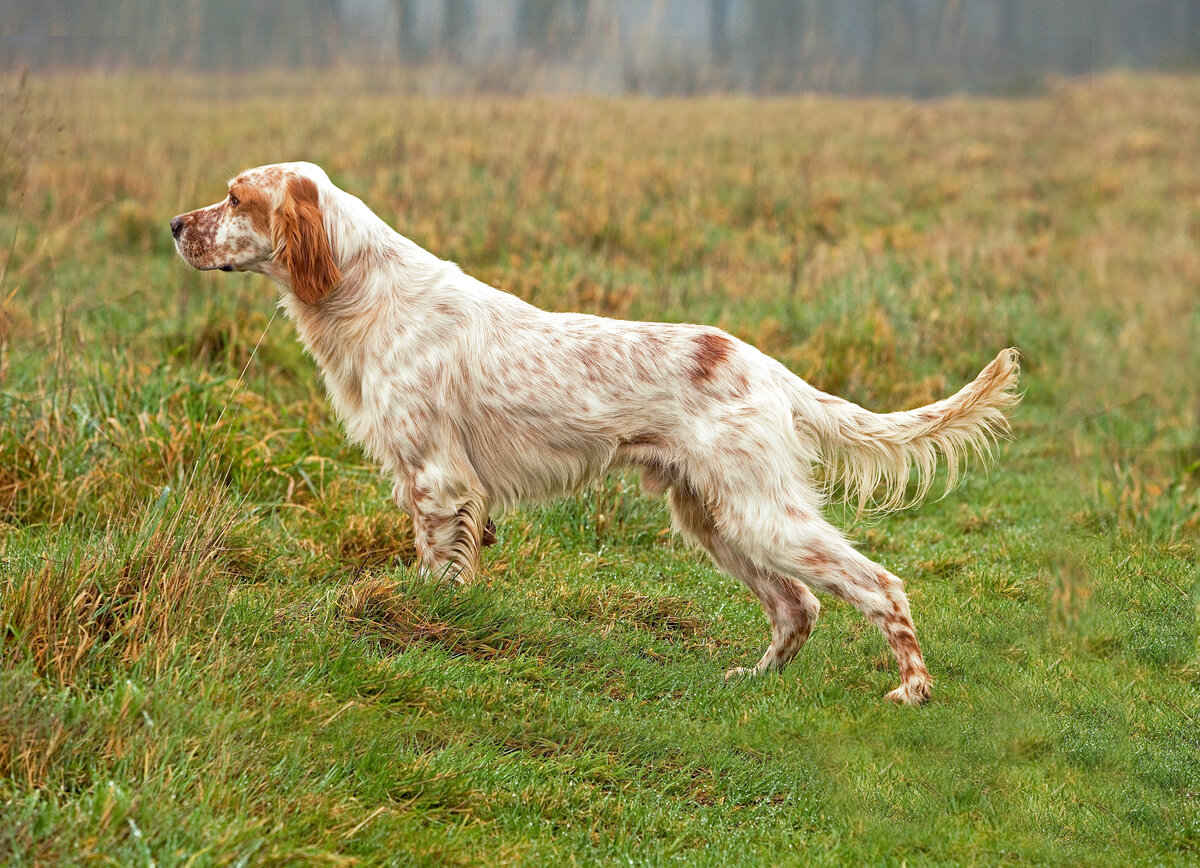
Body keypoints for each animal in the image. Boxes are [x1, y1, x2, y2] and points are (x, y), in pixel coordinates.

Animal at [174, 163, 1022, 705]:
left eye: (235, 197)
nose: (176, 224)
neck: (363, 290)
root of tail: (766, 367)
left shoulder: (438, 480)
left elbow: (438, 571)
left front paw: (423, 632)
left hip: (760, 514)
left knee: (879, 584)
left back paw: (913, 688)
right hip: (713, 517)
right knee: (797, 606)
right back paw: (755, 682)